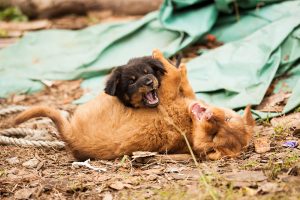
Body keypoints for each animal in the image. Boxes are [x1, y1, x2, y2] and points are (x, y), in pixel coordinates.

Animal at [14, 49, 255, 161]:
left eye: (214, 137)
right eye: (228, 119)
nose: (210, 117)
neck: (189, 126)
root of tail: (69, 136)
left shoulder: (167, 97)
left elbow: (174, 78)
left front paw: (162, 59)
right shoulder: (186, 98)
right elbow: (184, 82)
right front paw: (178, 64)